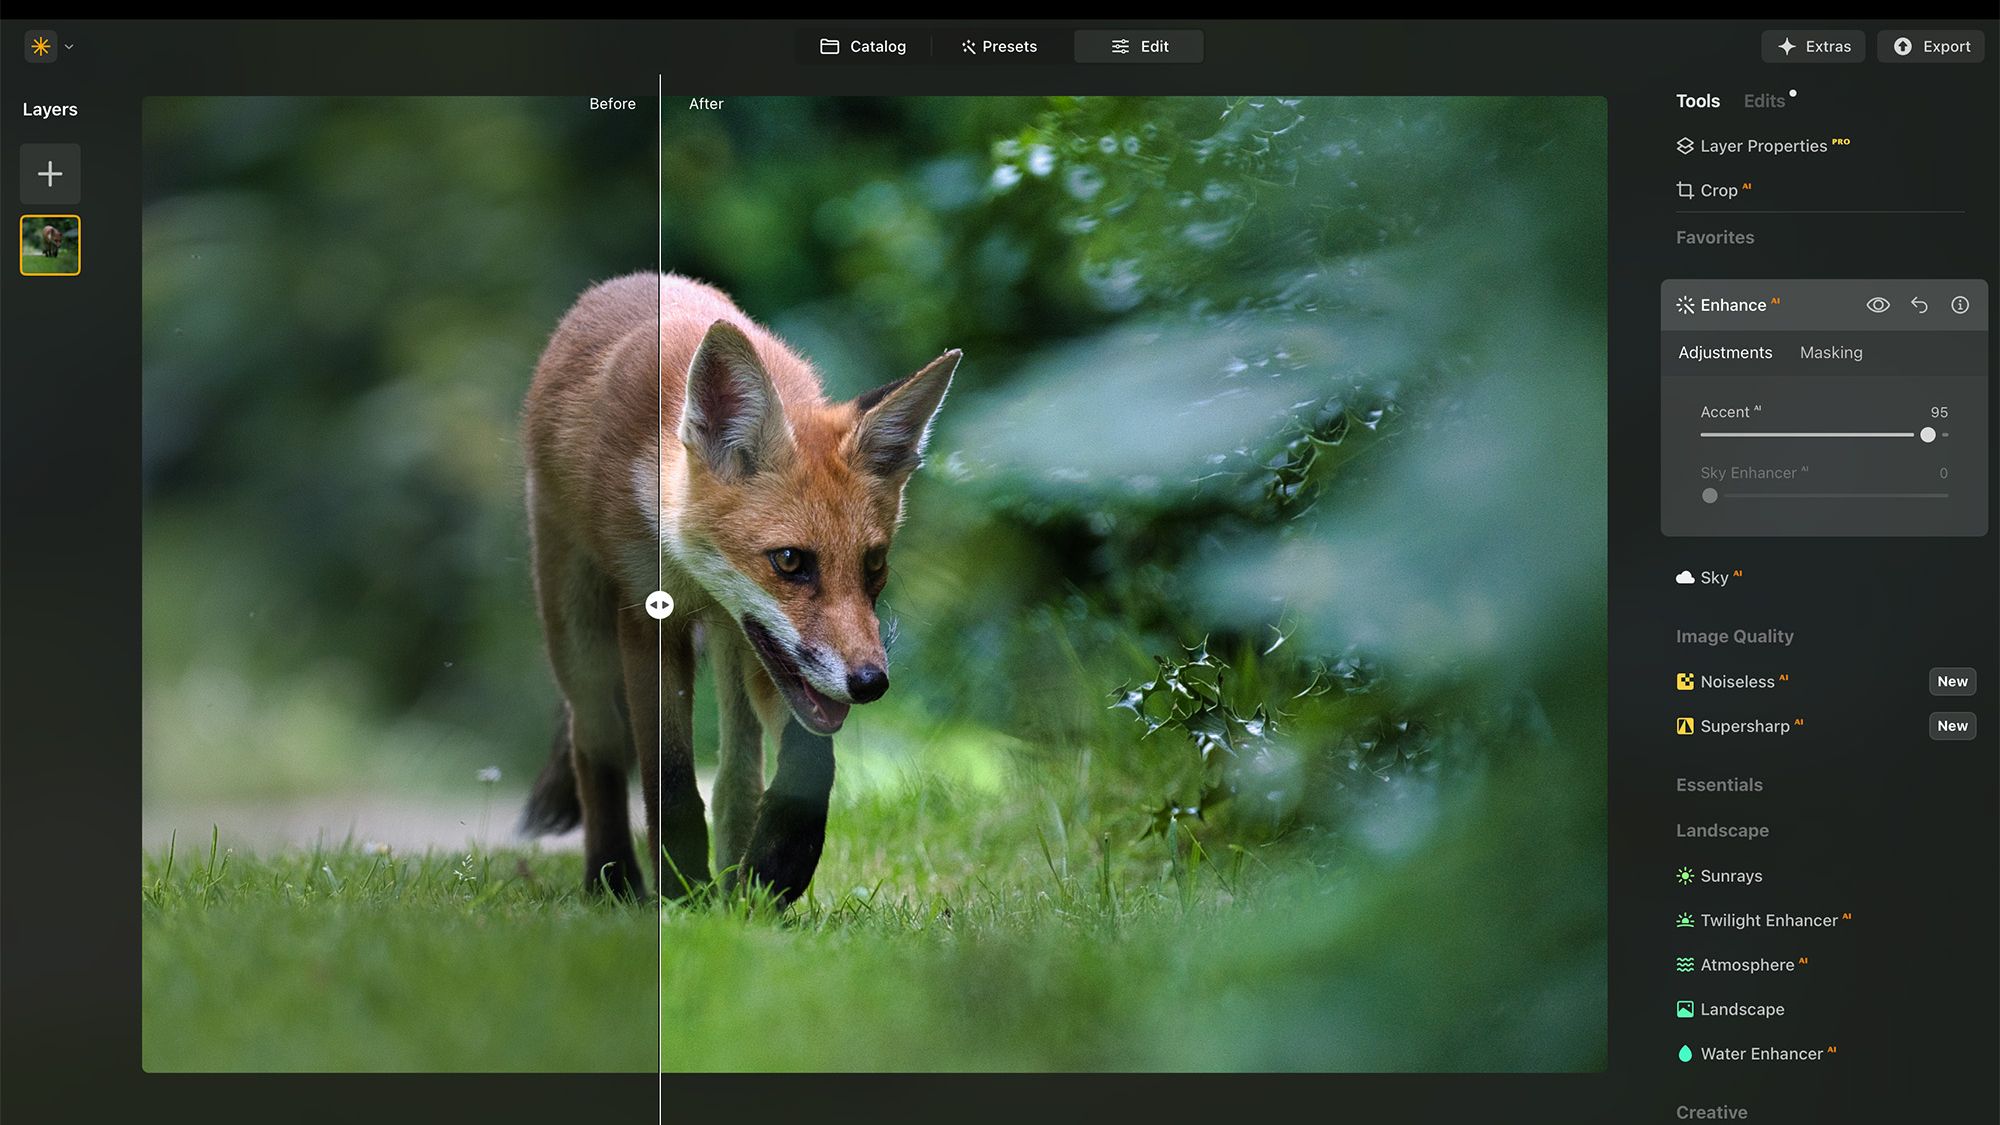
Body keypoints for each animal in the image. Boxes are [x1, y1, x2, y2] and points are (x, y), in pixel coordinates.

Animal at [518, 272, 958, 906]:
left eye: (874, 563)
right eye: (790, 561)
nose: (871, 683)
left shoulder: (769, 654)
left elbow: (808, 763)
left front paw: (777, 865)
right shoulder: (647, 621)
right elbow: (670, 780)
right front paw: (680, 891)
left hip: (736, 646)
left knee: (736, 776)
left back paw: (730, 888)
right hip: (578, 630)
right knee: (592, 744)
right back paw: (614, 881)